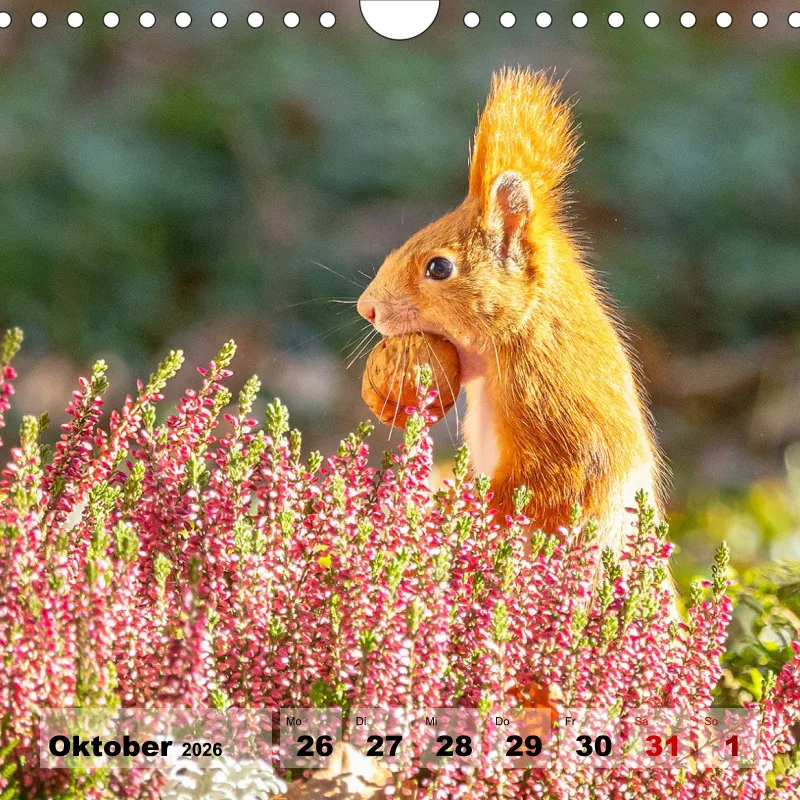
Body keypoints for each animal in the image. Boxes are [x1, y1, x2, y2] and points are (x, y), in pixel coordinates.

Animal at [357, 68, 665, 553]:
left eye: (439, 267)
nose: (366, 308)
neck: (520, 334)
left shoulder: (551, 400)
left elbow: (548, 485)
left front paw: (456, 508)